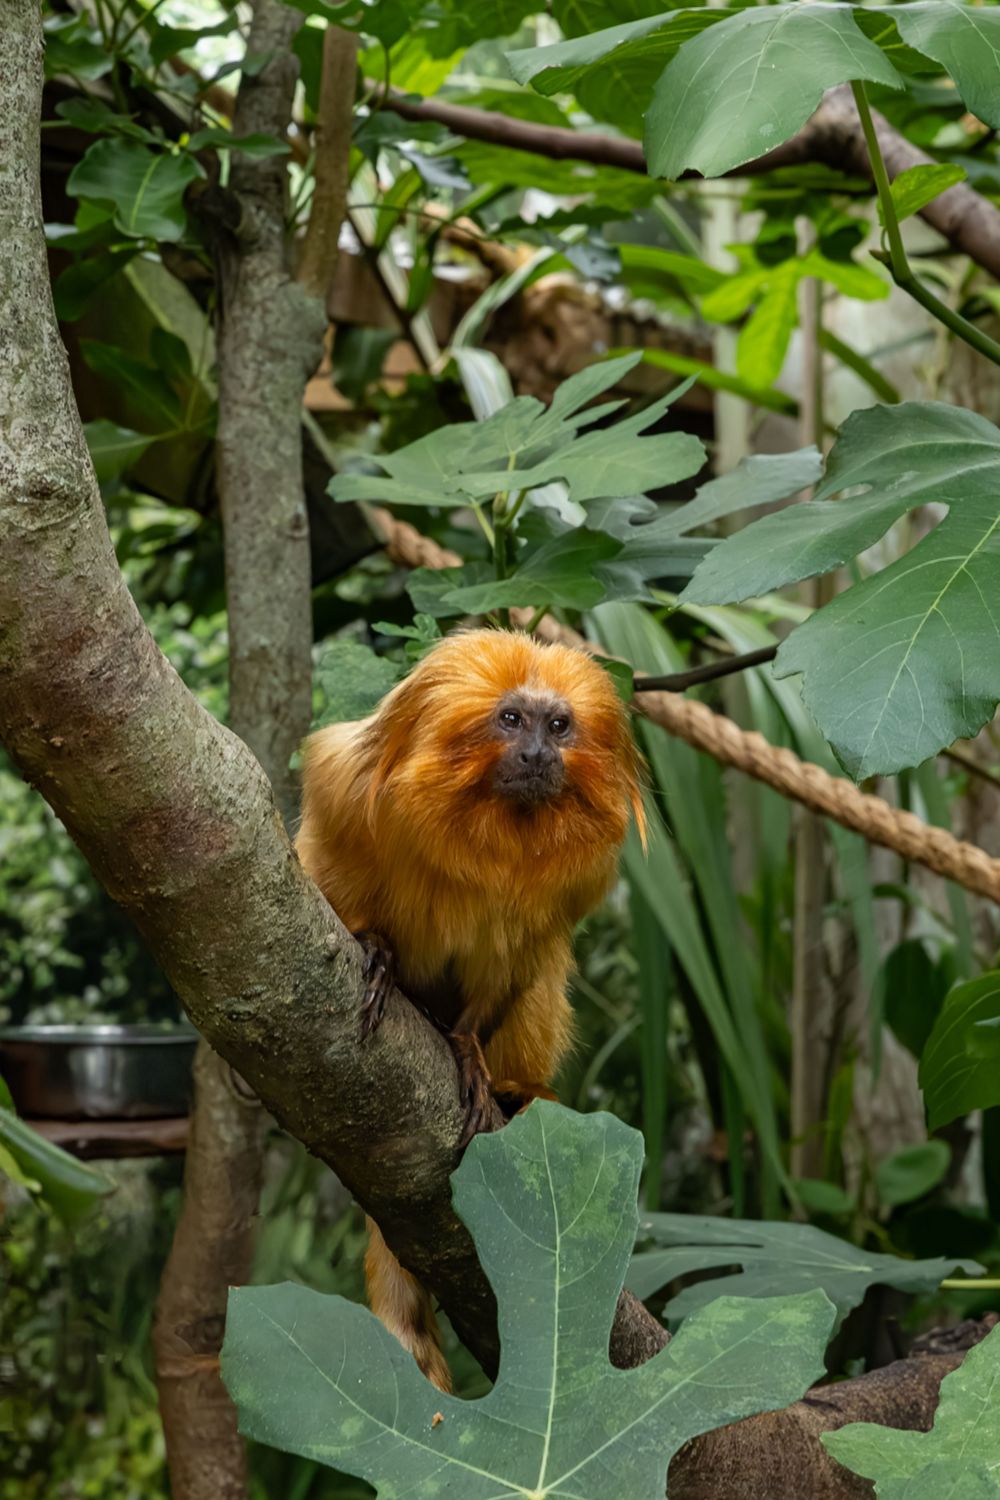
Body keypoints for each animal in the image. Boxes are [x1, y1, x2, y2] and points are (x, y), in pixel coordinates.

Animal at [295, 627, 645, 1391]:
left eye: (559, 725)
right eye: (511, 720)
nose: (539, 754)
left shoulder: (580, 880)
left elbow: (516, 964)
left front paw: (469, 1052)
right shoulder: (348, 791)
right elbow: (332, 868)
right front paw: (375, 949)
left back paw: (519, 1088)